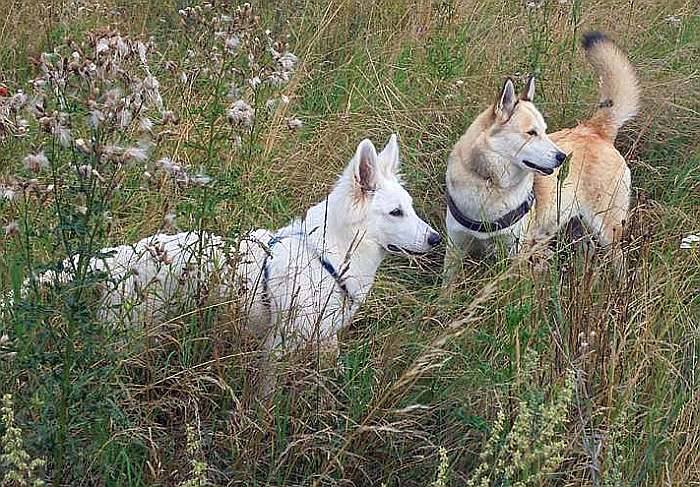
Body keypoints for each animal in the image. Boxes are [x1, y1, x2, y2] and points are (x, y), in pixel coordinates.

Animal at [446, 31, 636, 282]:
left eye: (545, 131)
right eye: (531, 133)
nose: (562, 157)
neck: (489, 183)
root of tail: (594, 129)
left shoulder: (515, 251)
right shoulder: (454, 248)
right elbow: (446, 288)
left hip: (608, 232)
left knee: (620, 262)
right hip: (579, 230)